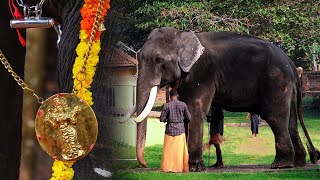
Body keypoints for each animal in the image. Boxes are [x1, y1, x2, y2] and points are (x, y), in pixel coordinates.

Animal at [134, 26, 318, 172]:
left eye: (159, 60)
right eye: (140, 57)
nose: (146, 164)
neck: (183, 34)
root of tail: (291, 64)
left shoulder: (202, 73)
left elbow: (194, 109)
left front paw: (194, 168)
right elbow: (187, 111)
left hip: (276, 82)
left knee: (276, 118)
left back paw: (280, 165)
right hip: (286, 88)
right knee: (291, 121)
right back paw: (298, 163)